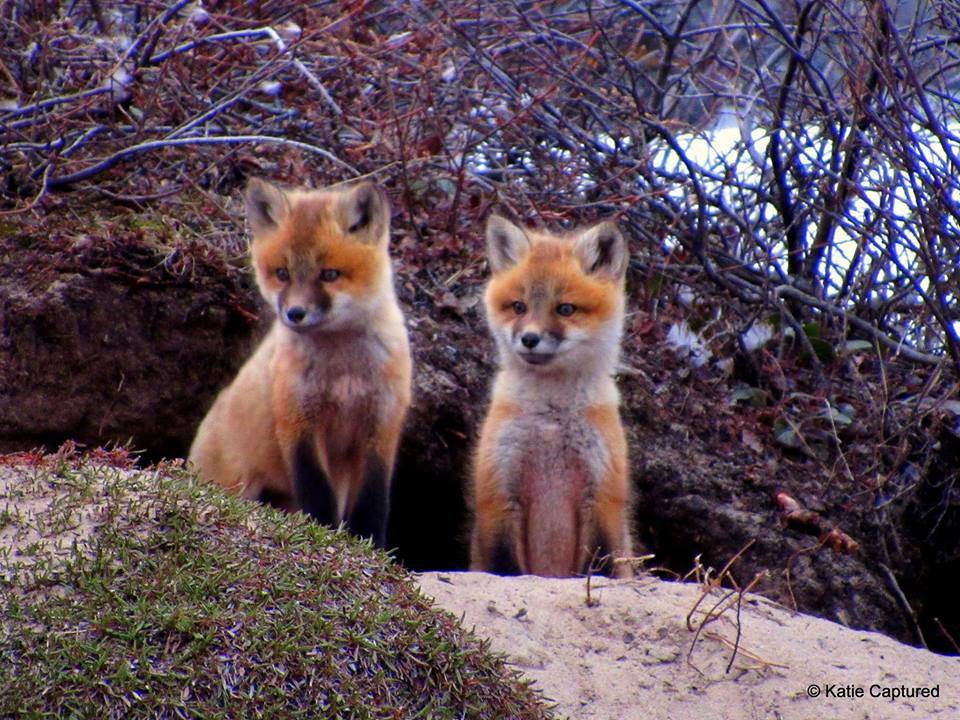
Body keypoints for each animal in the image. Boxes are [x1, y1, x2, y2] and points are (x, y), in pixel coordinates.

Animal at [188, 178, 411, 548]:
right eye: (282, 273)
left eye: (330, 275)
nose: (295, 313)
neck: (343, 371)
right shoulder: (298, 422)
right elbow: (317, 494)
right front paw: (325, 535)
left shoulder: (380, 427)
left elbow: (373, 502)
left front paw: (370, 546)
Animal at [470, 213, 634, 578]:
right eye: (518, 307)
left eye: (565, 309)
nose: (529, 339)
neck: (549, 425)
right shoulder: (499, 491)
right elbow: (506, 567)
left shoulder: (602, 496)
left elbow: (599, 566)